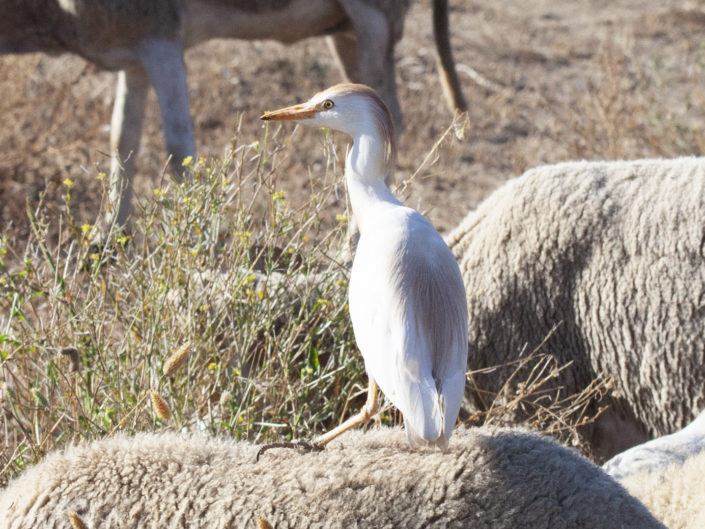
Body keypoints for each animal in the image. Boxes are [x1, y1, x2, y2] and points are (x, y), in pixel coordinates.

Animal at [0, 0, 468, 237]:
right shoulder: (133, 59)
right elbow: (122, 140)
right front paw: (108, 235)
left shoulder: (163, 46)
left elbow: (177, 148)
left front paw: (196, 240)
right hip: (345, 33)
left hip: (372, 24)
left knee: (392, 117)